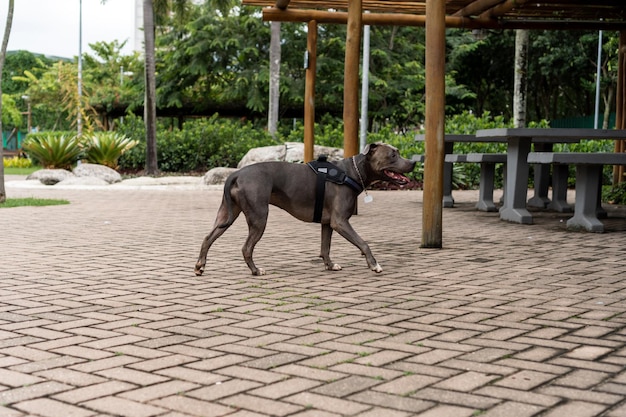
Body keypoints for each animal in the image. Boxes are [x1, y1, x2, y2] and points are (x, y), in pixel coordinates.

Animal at [193, 141, 412, 274]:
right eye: (393, 154)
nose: (413, 162)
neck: (352, 172)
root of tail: (236, 174)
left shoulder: (328, 223)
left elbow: (325, 247)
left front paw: (330, 265)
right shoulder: (340, 221)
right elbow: (363, 242)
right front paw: (374, 264)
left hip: (226, 214)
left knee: (208, 237)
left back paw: (200, 266)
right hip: (259, 217)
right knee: (246, 247)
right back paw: (256, 271)